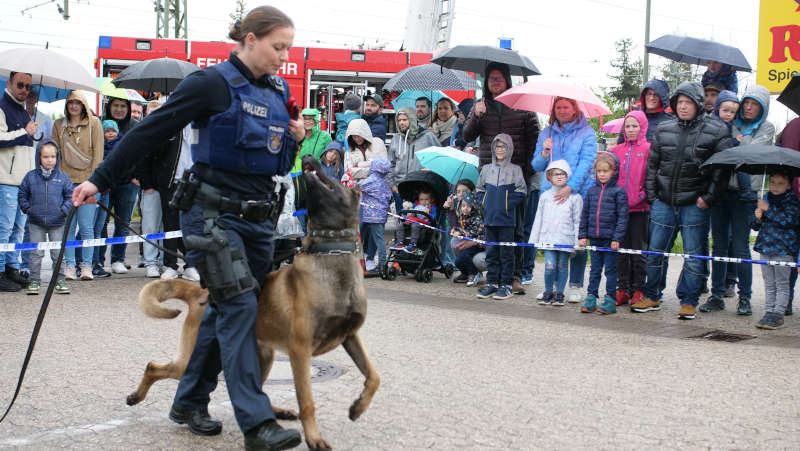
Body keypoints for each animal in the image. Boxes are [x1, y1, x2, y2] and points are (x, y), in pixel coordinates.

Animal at [127, 154, 382, 450]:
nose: (307, 156)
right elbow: (307, 400)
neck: (331, 253)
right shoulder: (300, 350)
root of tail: (200, 293)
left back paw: (273, 413)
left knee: (255, 388)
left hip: (264, 355)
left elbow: (374, 376)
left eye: (334, 177)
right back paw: (138, 397)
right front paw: (314, 438)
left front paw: (358, 407)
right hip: (195, 357)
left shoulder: (350, 336)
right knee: (156, 367)